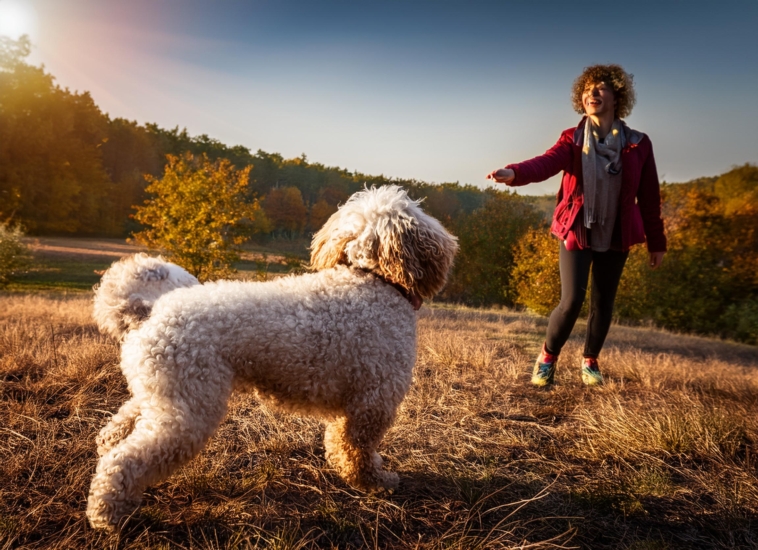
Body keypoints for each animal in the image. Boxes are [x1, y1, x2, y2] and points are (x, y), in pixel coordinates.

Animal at [87, 185, 458, 532]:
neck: (371, 280)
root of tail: (147, 312)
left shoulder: (355, 406)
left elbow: (342, 444)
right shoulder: (372, 403)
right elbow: (356, 450)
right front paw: (374, 482)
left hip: (163, 393)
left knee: (119, 428)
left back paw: (108, 451)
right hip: (187, 412)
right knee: (123, 461)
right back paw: (107, 514)